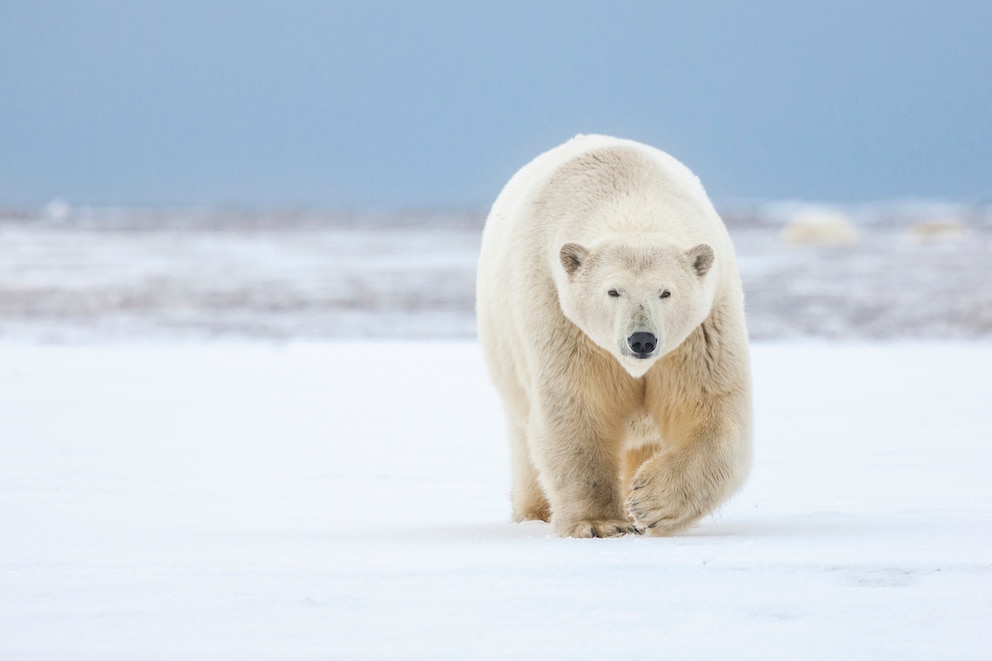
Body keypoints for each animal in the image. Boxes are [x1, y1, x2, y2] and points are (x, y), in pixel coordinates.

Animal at [476, 134, 748, 536]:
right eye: (613, 291)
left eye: (666, 292)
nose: (642, 340)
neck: (630, 196)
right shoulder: (562, 319)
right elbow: (578, 408)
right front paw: (599, 523)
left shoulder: (703, 330)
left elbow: (710, 408)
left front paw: (648, 501)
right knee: (526, 441)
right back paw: (534, 512)